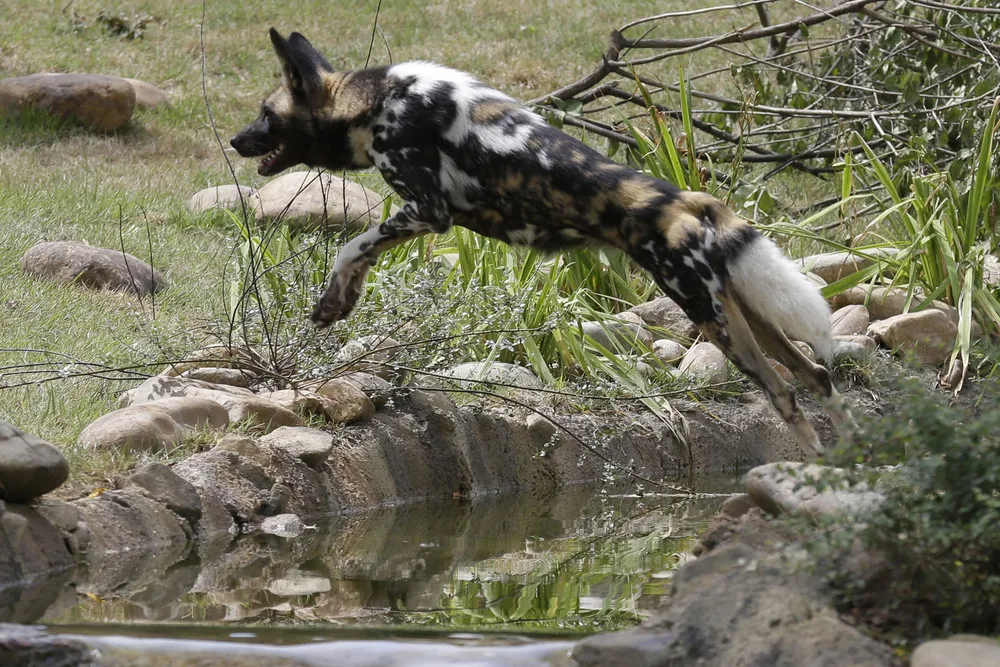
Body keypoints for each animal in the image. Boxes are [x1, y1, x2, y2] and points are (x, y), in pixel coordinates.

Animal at [232, 26, 860, 454]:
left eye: (266, 113)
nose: (237, 140)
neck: (376, 100)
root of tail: (684, 199)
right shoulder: (420, 216)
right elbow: (361, 253)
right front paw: (340, 302)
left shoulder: (428, 211)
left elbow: (352, 245)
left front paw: (333, 299)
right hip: (742, 311)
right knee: (818, 378)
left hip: (711, 317)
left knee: (784, 394)